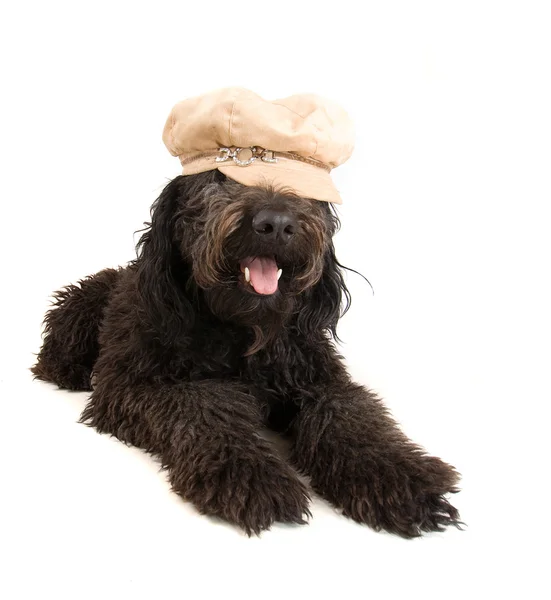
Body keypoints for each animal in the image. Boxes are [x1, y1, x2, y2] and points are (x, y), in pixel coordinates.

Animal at [31, 88, 462, 536]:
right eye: (222, 180)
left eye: (303, 190)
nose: (276, 224)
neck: (245, 333)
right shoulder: (137, 385)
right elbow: (205, 407)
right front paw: (251, 475)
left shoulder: (321, 379)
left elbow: (349, 414)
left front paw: (400, 477)